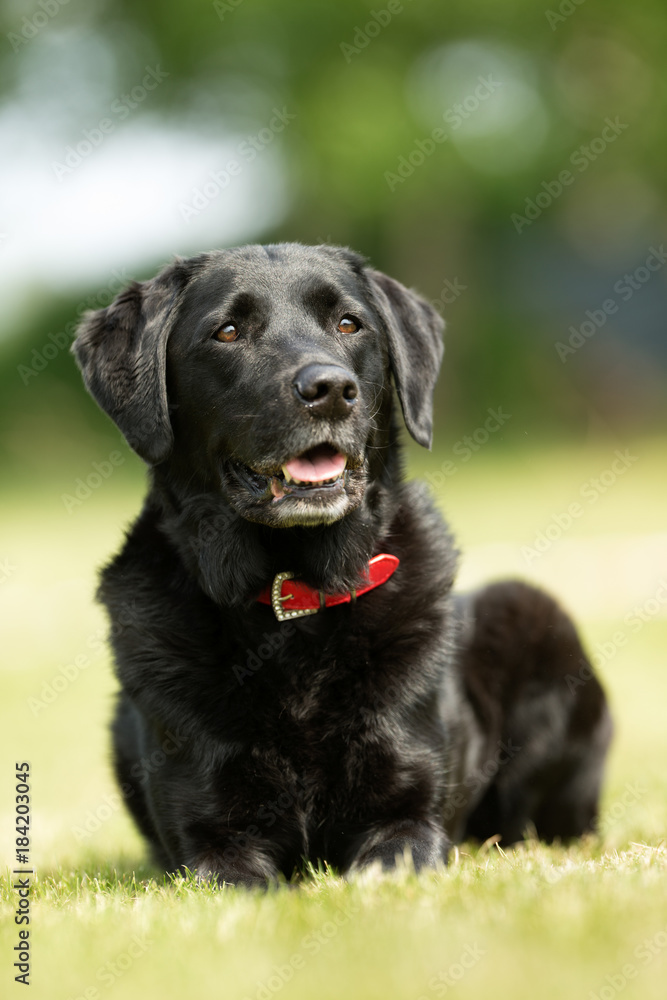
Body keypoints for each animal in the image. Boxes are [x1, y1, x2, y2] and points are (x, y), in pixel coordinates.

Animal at [72, 242, 612, 884]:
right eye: (227, 331)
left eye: (349, 324)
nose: (330, 388)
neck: (293, 597)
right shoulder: (213, 842)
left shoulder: (407, 817)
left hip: (530, 610)